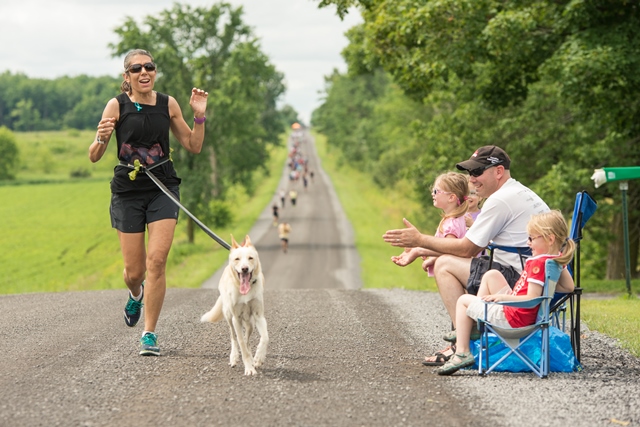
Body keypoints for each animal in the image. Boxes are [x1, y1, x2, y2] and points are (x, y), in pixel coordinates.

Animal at [201, 236, 268, 376]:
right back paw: (234, 357)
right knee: (233, 337)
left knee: (247, 339)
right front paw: (248, 368)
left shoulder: (259, 316)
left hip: (250, 324)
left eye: (250, 258)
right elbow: (240, 342)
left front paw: (258, 358)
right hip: (228, 316)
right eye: (237, 259)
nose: (244, 269)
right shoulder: (236, 319)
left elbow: (265, 337)